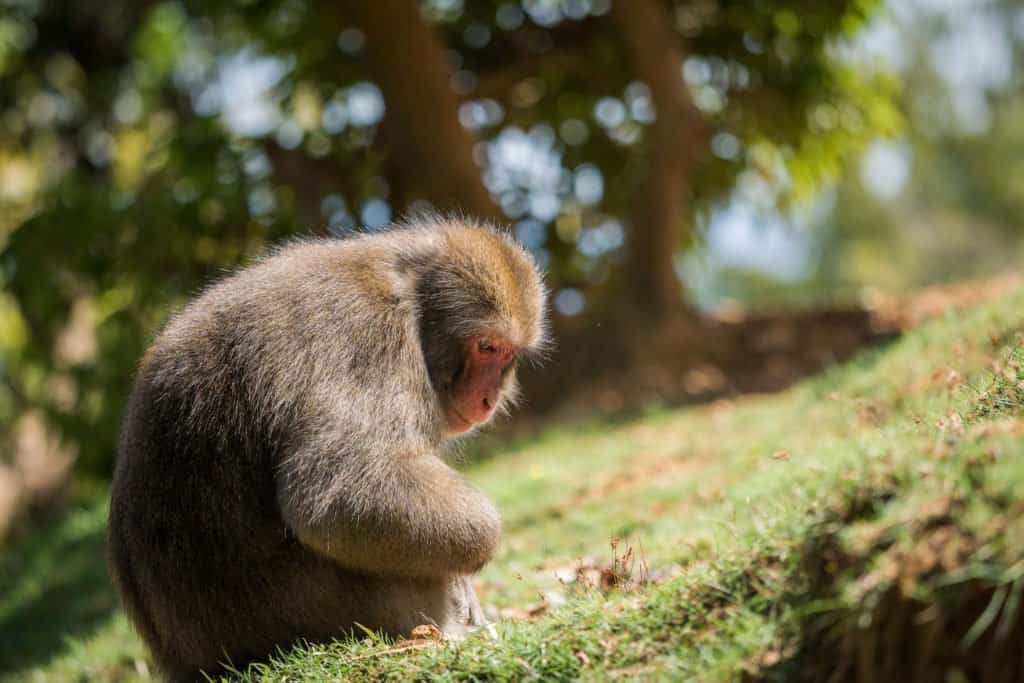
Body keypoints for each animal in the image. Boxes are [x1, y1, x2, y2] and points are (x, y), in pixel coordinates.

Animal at [108, 218, 548, 679]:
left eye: (507, 355)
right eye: (486, 347)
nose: (488, 398)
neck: (409, 301)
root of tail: (189, 662)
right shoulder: (367, 336)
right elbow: (332, 497)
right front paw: (479, 551)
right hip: (317, 609)